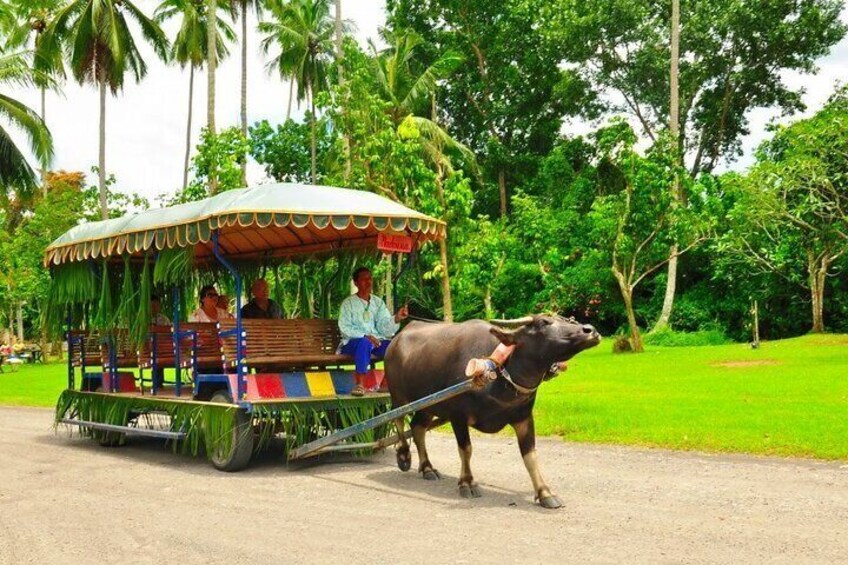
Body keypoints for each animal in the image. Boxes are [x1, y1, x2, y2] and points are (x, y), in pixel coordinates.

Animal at [388, 316, 600, 508]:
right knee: (398, 421)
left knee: (417, 427)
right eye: (542, 322)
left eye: (567, 319)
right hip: (399, 397)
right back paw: (404, 456)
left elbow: (530, 456)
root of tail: (396, 341)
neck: (498, 373)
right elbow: (466, 450)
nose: (590, 330)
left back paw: (427, 468)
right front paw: (467, 483)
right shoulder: (458, 417)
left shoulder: (524, 418)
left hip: (427, 406)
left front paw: (545, 493)